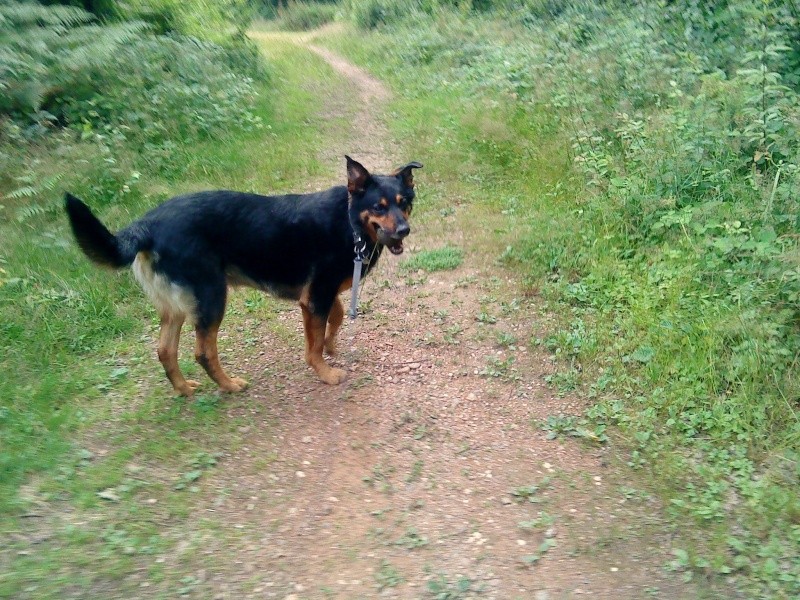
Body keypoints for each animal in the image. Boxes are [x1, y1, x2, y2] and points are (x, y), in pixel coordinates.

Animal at [65, 157, 422, 396]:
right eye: (379, 206)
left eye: (404, 203)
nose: (404, 230)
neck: (350, 221)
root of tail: (147, 225)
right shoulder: (316, 295)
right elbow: (316, 341)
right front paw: (325, 372)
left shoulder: (320, 295)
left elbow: (334, 319)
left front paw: (331, 348)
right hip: (211, 296)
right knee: (203, 352)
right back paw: (229, 385)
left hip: (177, 305)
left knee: (165, 350)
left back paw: (184, 389)